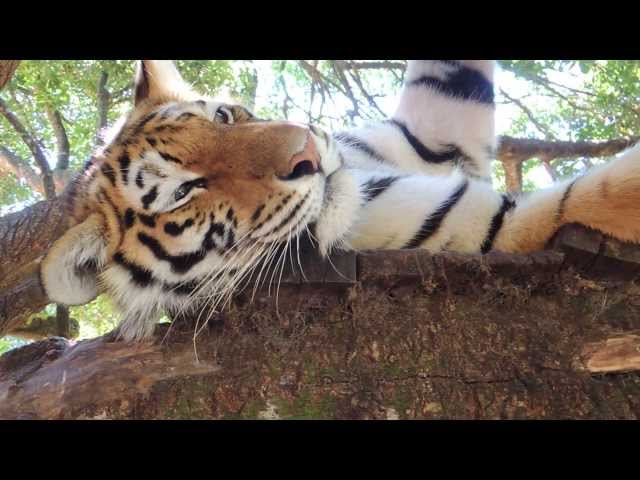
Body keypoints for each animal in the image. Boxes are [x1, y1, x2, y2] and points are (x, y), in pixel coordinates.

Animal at [40, 60, 640, 342]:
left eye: (224, 117)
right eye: (184, 191)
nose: (307, 152)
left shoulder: (433, 133)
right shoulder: (493, 228)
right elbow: (600, 192)